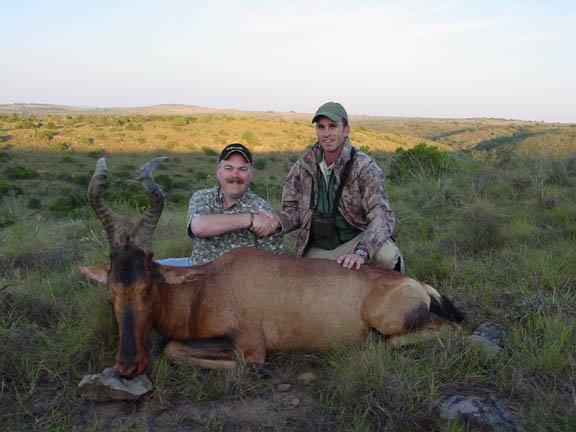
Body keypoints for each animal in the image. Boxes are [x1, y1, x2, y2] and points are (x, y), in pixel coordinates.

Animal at [80, 158, 464, 378]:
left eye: (147, 285)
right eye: (111, 288)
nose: (127, 367)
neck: (204, 286)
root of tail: (417, 284)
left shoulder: (249, 343)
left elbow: (175, 350)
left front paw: (254, 371)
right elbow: (171, 348)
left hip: (393, 320)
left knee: (447, 331)